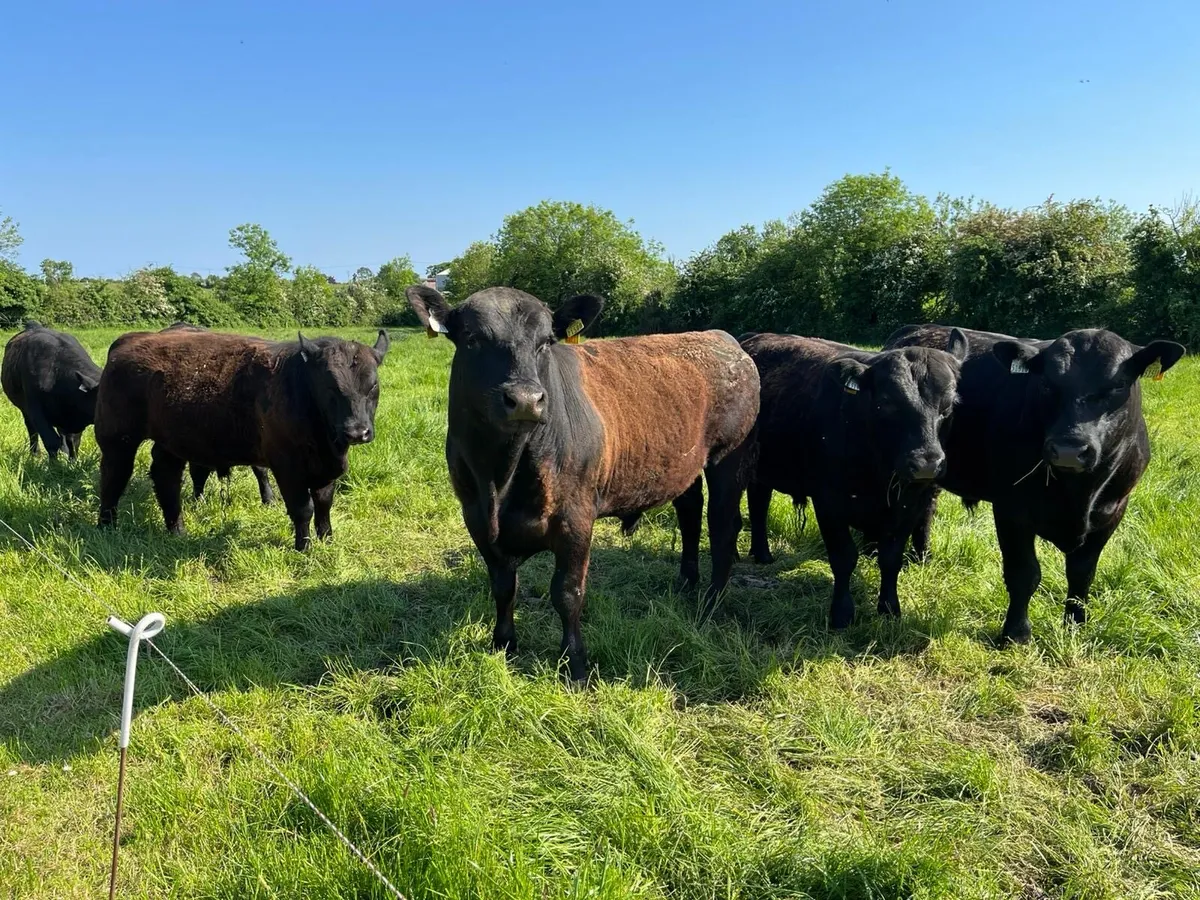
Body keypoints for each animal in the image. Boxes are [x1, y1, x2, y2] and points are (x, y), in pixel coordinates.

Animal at [2, 320, 102, 461]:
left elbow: (73, 442)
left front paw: (73, 462)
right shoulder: (36, 410)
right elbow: (51, 441)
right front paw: (54, 465)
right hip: (25, 410)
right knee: (32, 431)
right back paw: (35, 454)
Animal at [406, 285, 760, 684]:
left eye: (546, 341)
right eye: (471, 339)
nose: (526, 400)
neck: (501, 478)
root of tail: (723, 339)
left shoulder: (574, 519)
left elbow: (567, 593)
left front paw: (574, 664)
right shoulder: (476, 518)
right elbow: (503, 586)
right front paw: (503, 645)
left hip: (728, 458)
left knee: (723, 525)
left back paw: (711, 600)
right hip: (683, 464)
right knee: (689, 512)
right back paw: (686, 582)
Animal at [740, 330, 969, 628]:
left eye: (949, 405)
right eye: (887, 403)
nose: (926, 463)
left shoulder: (911, 504)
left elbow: (891, 558)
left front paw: (890, 608)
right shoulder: (828, 501)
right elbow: (843, 557)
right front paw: (842, 613)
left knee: (758, 504)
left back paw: (762, 553)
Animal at [886, 324, 1185, 643]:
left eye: (1119, 385)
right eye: (1046, 384)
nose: (1069, 449)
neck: (1079, 493)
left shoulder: (1112, 511)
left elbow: (1082, 574)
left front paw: (1075, 625)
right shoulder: (1011, 509)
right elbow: (1024, 573)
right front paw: (1016, 633)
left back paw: (923, 557)